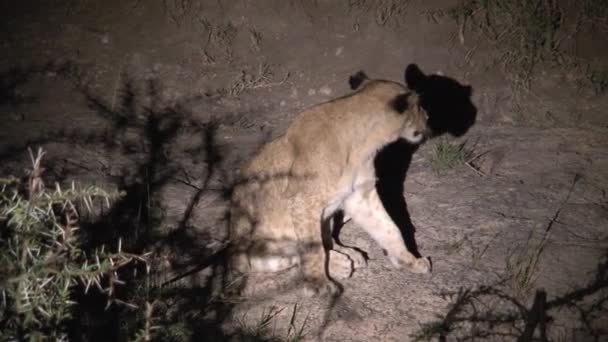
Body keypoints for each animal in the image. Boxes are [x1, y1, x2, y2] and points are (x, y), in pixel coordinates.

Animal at [228, 65, 432, 296]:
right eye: (419, 107)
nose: (428, 117)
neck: (363, 146)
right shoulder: (303, 200)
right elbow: (312, 249)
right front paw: (318, 284)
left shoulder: (359, 196)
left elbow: (390, 229)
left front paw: (411, 261)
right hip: (257, 245)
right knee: (290, 255)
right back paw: (341, 262)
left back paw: (348, 254)